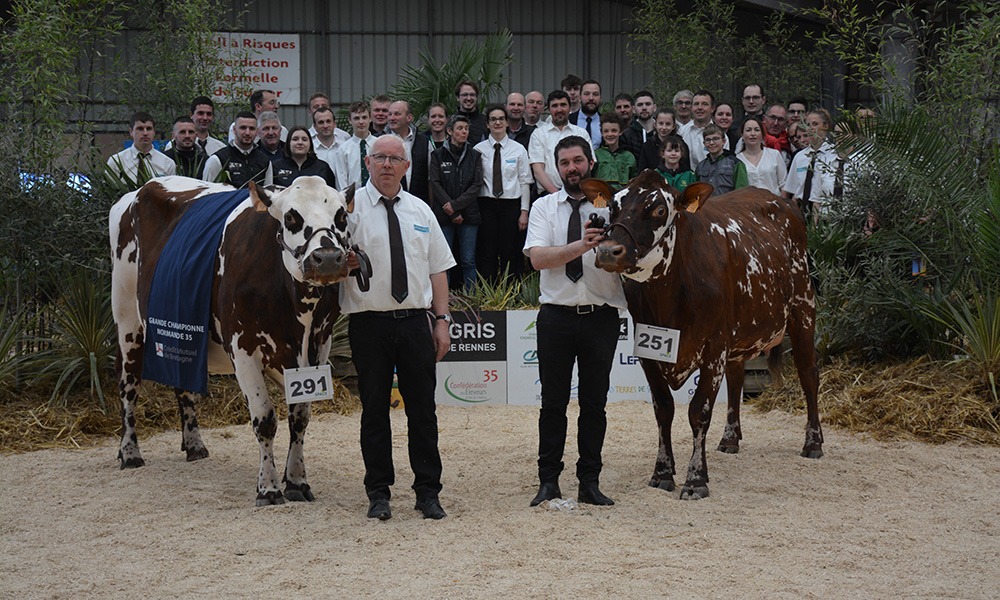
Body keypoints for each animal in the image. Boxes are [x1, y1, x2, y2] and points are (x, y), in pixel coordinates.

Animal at [110, 175, 356, 506]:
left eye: (341, 216)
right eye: (291, 217)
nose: (327, 259)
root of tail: (141, 188)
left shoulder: (318, 348)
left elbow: (300, 417)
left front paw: (296, 481)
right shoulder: (243, 349)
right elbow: (265, 419)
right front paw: (268, 487)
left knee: (182, 382)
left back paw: (194, 445)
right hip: (128, 320)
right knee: (128, 385)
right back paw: (129, 452)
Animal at [584, 171, 820, 500]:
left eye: (659, 209)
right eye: (613, 207)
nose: (608, 251)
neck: (670, 295)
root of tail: (780, 200)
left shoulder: (713, 348)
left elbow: (699, 411)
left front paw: (696, 479)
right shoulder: (648, 353)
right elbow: (663, 409)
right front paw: (662, 472)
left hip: (803, 308)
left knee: (808, 373)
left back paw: (813, 443)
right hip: (739, 335)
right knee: (736, 379)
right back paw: (730, 438)